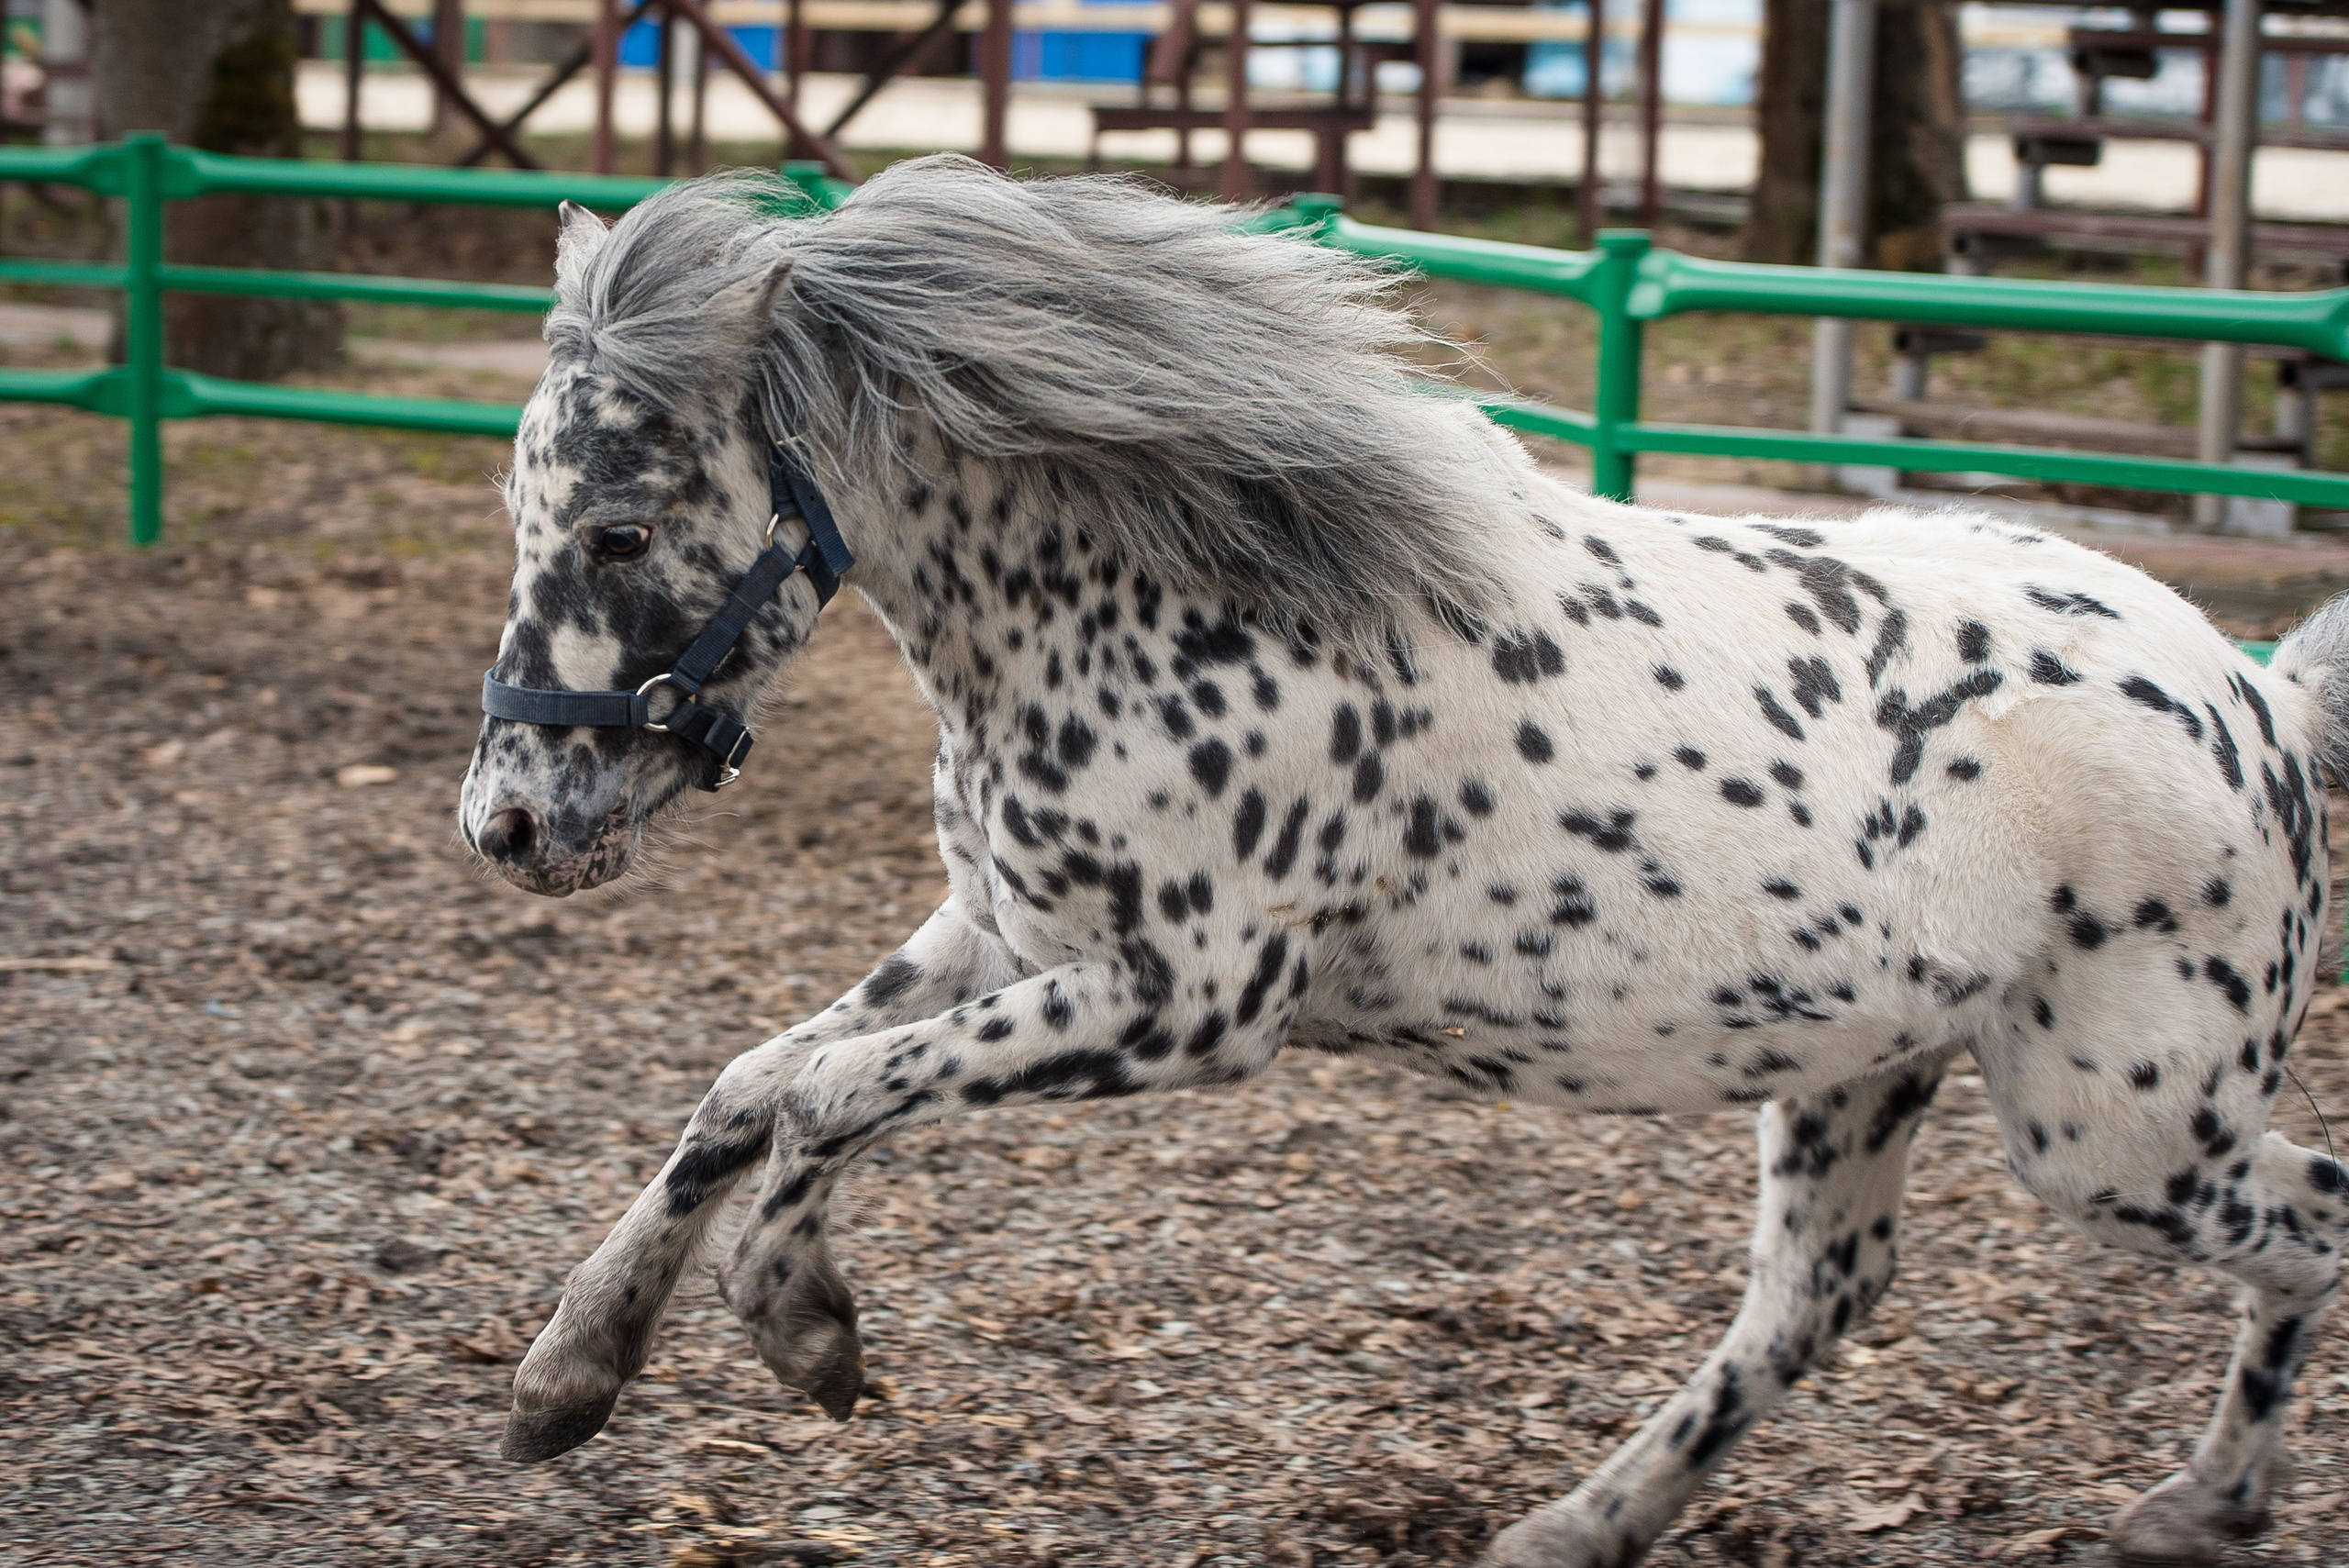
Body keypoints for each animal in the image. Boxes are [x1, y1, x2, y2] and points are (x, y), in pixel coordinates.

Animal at [455, 156, 2347, 1566]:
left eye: (620, 526)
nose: (509, 823)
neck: (1168, 595)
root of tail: (2255, 696)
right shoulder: (1004, 929)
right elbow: (754, 1082)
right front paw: (565, 1378)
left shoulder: (1187, 1002)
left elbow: (834, 1092)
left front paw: (807, 1329)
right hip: (1865, 1070)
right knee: (1811, 1301)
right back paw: (1574, 1524)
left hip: (2117, 1132)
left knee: (2313, 1217)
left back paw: (2202, 1501)